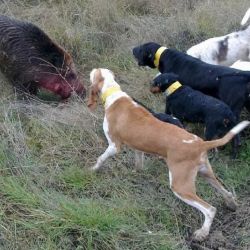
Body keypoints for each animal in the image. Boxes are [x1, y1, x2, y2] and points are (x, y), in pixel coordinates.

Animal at [87, 67, 250, 241]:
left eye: (95, 72)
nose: (92, 69)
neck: (114, 93)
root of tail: (200, 143)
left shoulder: (114, 146)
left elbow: (101, 159)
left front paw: (92, 170)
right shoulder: (138, 147)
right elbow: (138, 163)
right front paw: (136, 173)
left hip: (180, 186)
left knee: (210, 209)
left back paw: (202, 232)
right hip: (206, 174)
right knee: (226, 192)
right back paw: (231, 205)